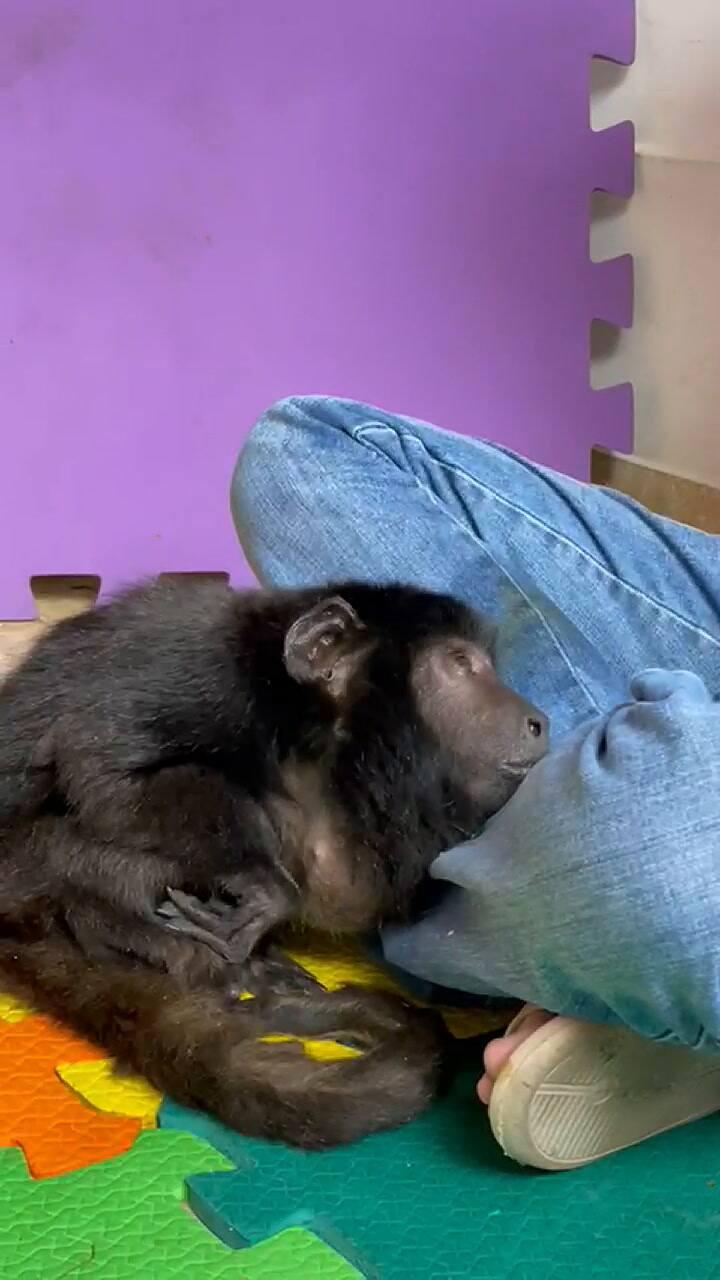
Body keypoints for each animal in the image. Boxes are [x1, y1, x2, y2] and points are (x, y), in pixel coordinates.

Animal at [0, 577, 548, 1147]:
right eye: (460, 663)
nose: (538, 721)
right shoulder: (204, 681)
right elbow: (100, 771)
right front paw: (271, 892)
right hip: (43, 877)